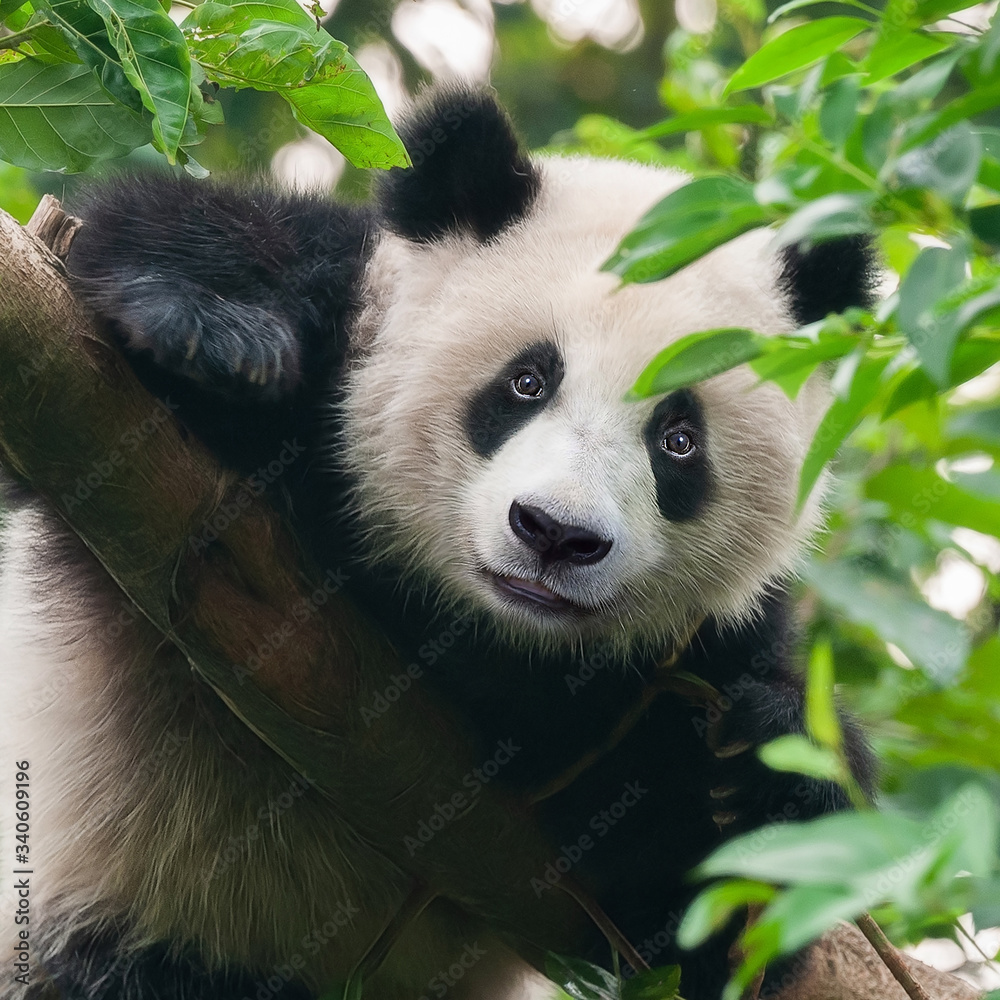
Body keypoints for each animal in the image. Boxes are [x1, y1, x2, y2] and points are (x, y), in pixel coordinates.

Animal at [0, 87, 876, 1000]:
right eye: (527, 381)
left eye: (678, 439)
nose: (555, 534)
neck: (478, 633)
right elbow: (156, 241)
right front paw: (211, 328)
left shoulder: (690, 655)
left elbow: (706, 932)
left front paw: (762, 770)